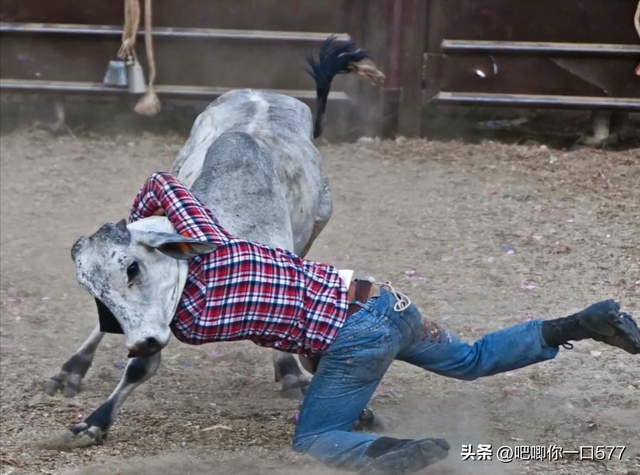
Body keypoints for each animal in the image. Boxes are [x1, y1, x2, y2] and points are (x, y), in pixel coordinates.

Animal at [46, 37, 384, 446]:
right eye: (94, 292)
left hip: (317, 225)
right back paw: (70, 370)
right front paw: (93, 422)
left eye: (132, 268)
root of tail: (263, 92)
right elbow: (140, 366)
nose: (140, 341)